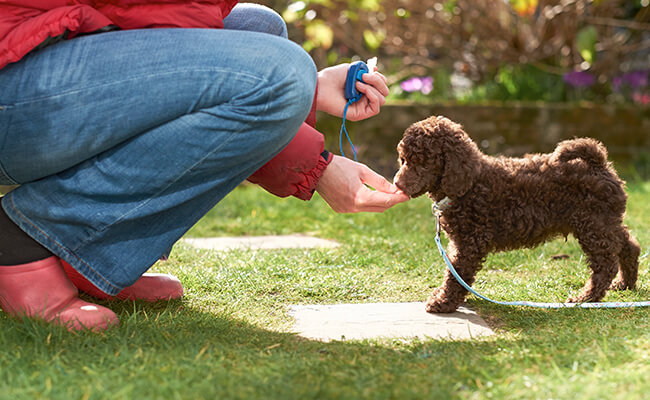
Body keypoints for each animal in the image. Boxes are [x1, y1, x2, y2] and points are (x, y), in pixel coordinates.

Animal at [392, 115, 640, 312]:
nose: (397, 184)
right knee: (629, 245)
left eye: (423, 162)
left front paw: (443, 302)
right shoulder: (461, 241)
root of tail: (599, 164)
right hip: (605, 222)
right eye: (403, 159)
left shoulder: (470, 242)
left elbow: (456, 273)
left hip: (593, 224)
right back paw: (625, 284)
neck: (470, 184)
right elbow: (455, 272)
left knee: (605, 264)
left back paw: (586, 298)